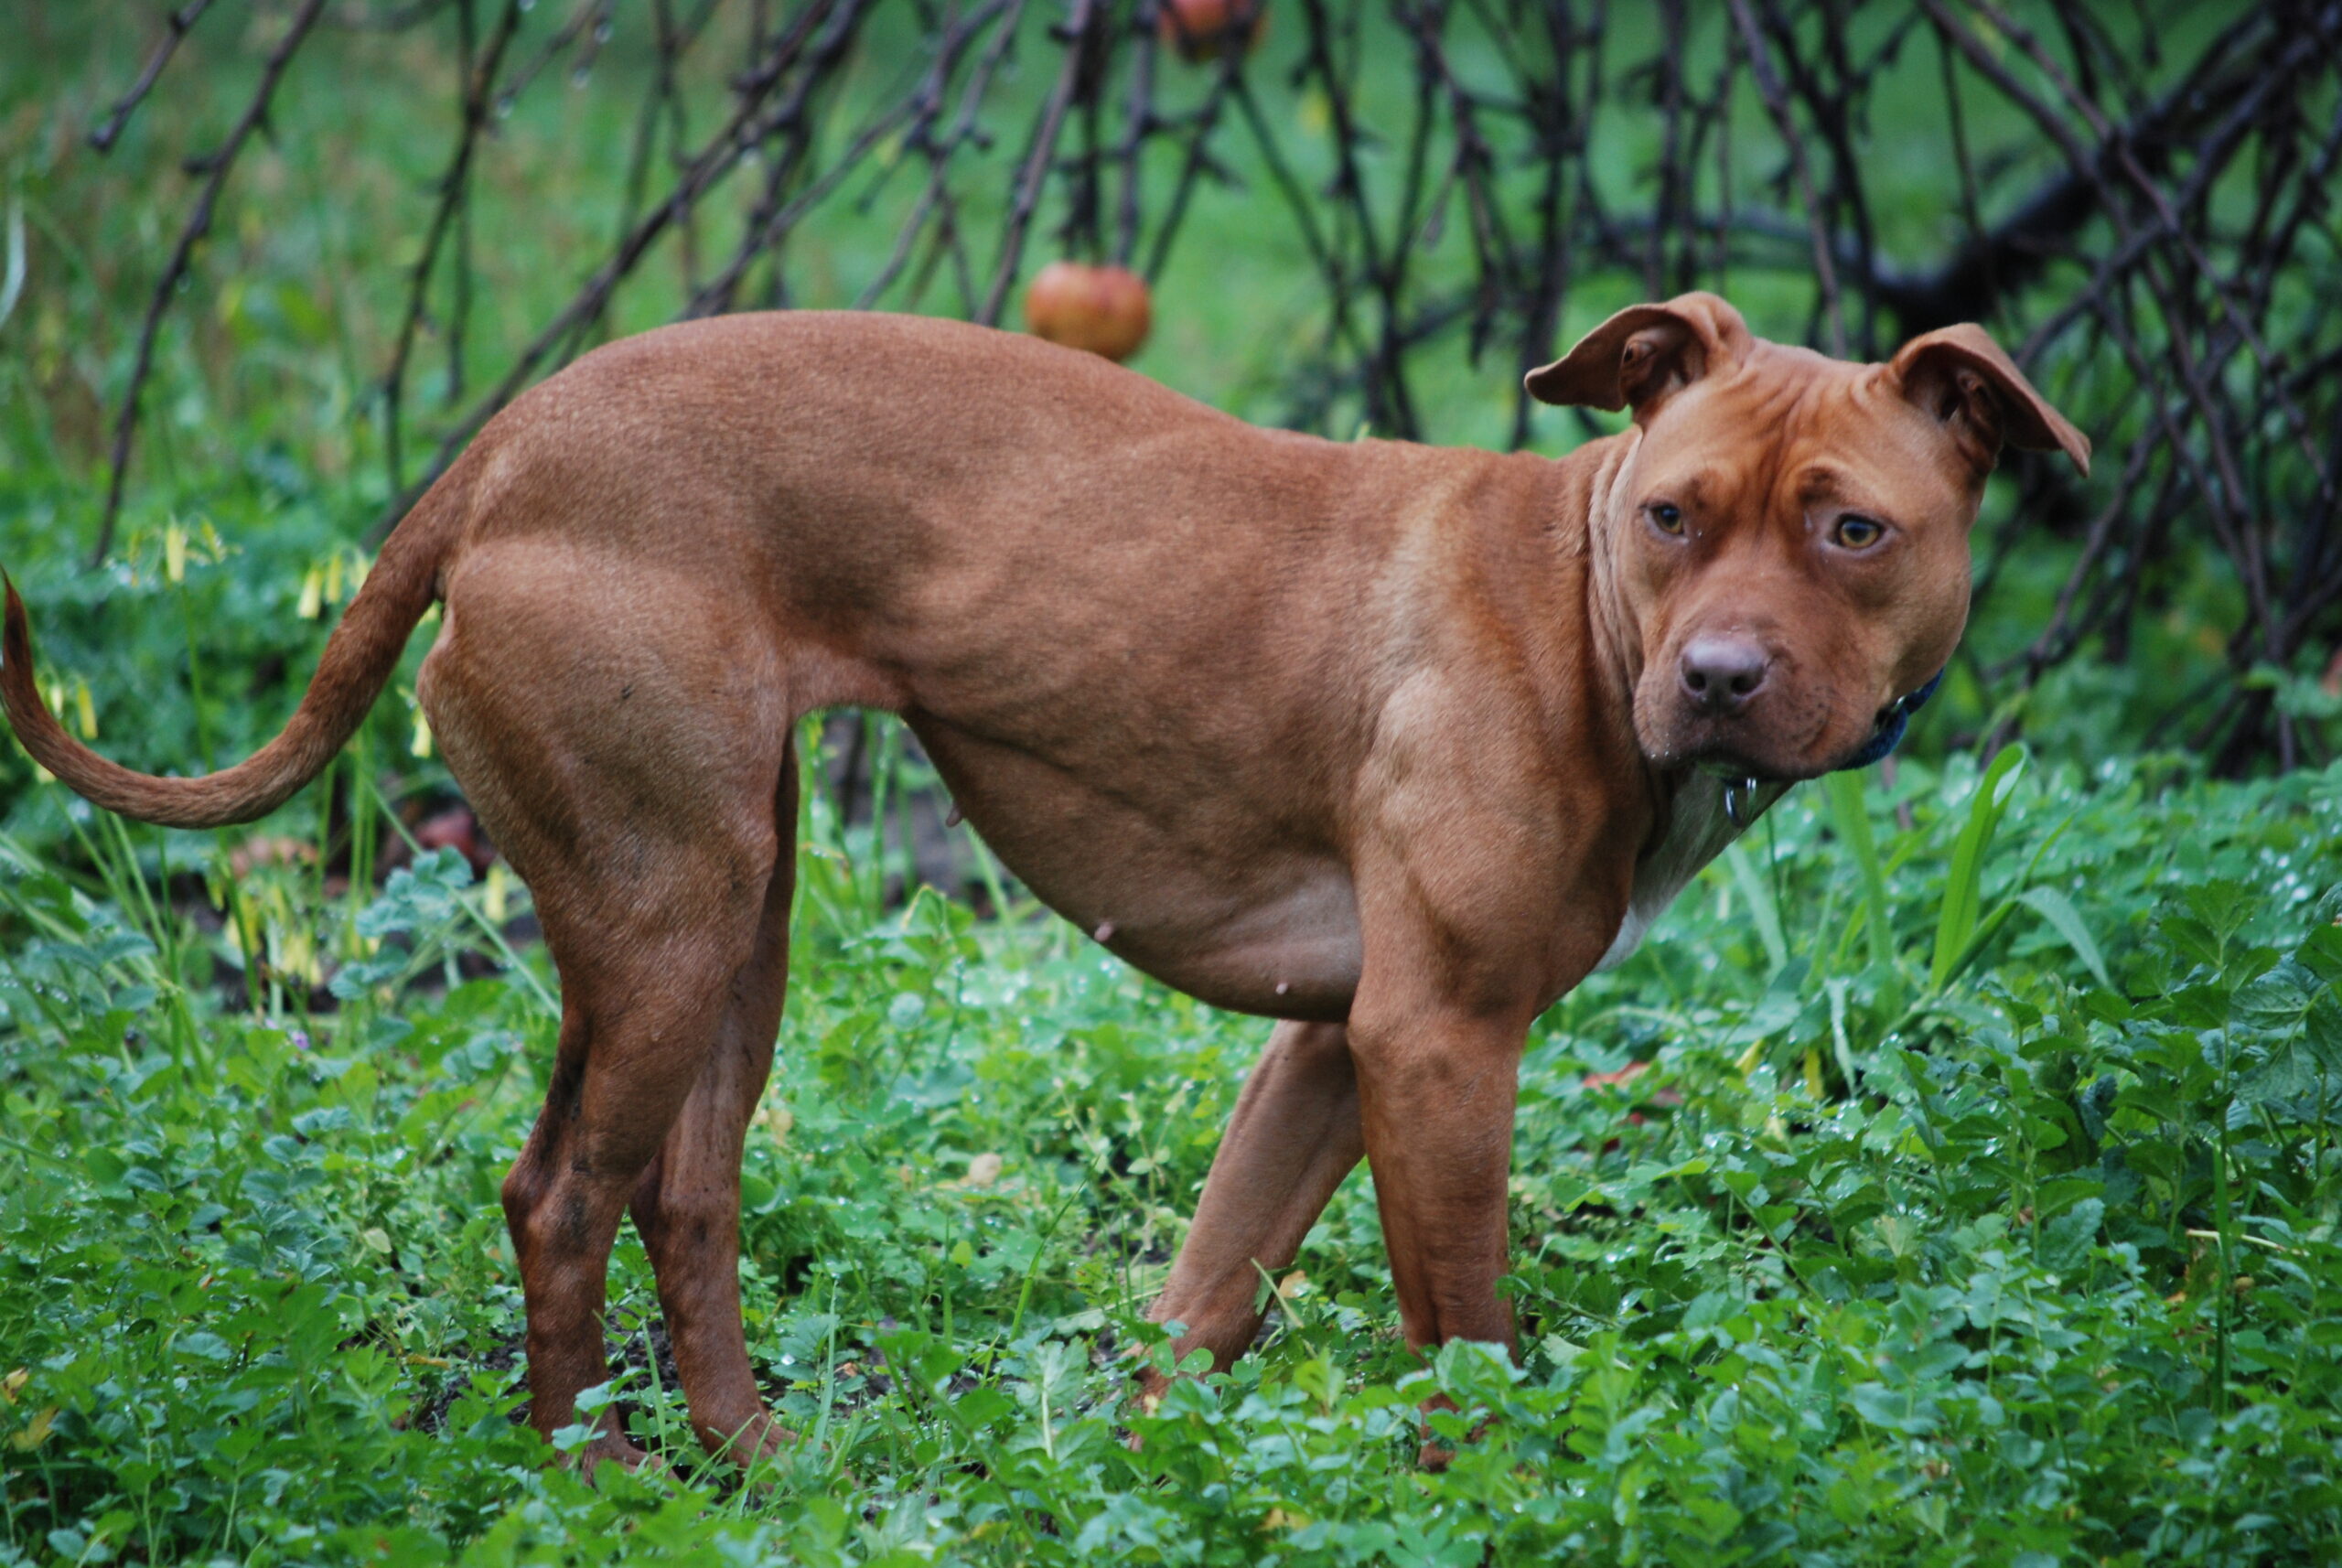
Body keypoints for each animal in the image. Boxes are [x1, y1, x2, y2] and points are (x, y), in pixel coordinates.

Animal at [0, 291, 2089, 1478]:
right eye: (1670, 515)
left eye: (1851, 530)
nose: (1719, 676)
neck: (1581, 614)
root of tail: (506, 445)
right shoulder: (1437, 1044)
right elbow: (1469, 1338)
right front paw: (1480, 1493)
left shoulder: (1338, 1054)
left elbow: (1207, 1297)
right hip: (669, 917)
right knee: (560, 1194)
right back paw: (584, 1480)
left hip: (735, 925)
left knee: (685, 1188)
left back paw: (756, 1457)